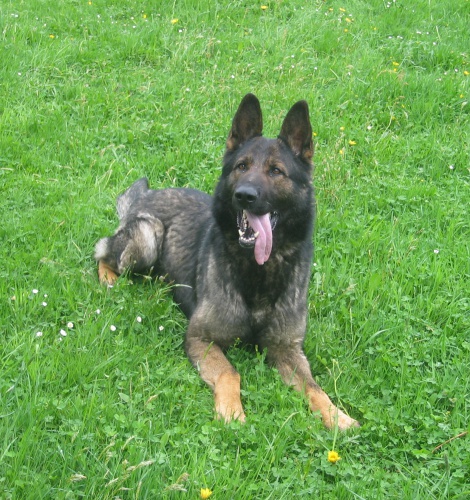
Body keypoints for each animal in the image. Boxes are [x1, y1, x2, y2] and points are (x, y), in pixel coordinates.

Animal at [95, 94, 359, 430]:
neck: (259, 272)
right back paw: (108, 279)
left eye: (276, 171)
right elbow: (230, 372)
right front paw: (232, 410)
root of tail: (147, 195)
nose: (244, 195)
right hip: (146, 239)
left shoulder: (287, 349)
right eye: (242, 166)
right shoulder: (200, 338)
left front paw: (338, 417)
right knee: (102, 250)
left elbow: (315, 387)